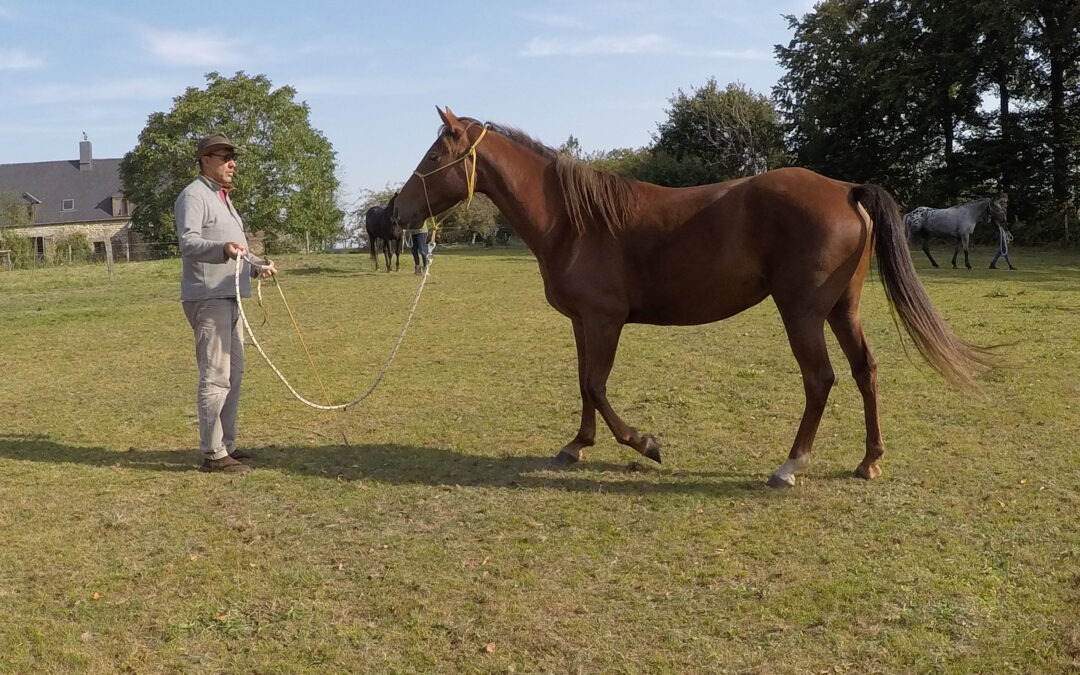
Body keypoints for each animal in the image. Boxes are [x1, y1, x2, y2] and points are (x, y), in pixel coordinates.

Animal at [393, 106, 989, 483]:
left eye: (432, 158)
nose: (395, 212)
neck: (575, 221)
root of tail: (846, 190)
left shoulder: (605, 319)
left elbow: (597, 385)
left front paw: (645, 444)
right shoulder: (583, 322)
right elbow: (584, 384)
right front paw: (577, 445)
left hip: (803, 313)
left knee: (820, 380)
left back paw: (790, 466)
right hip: (844, 309)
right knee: (866, 371)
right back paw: (869, 461)